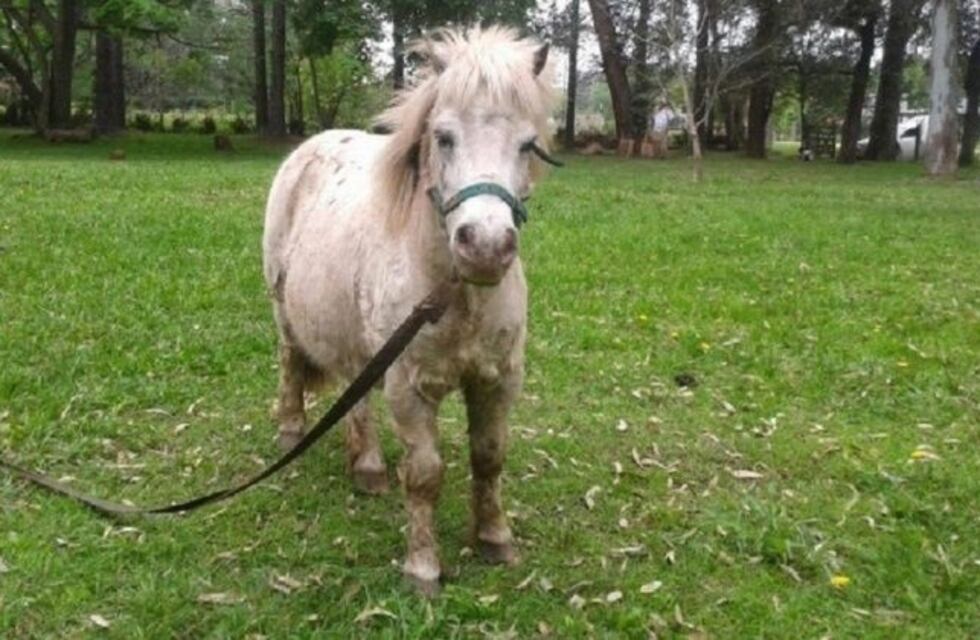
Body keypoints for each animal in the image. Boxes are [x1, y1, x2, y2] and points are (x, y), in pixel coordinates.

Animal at [261, 27, 554, 594]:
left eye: (528, 145)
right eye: (443, 137)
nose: (486, 247)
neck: (456, 296)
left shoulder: (498, 380)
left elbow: (490, 457)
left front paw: (494, 539)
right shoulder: (410, 386)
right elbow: (424, 475)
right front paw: (423, 568)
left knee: (353, 395)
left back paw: (369, 467)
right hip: (286, 314)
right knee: (291, 363)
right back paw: (294, 431)